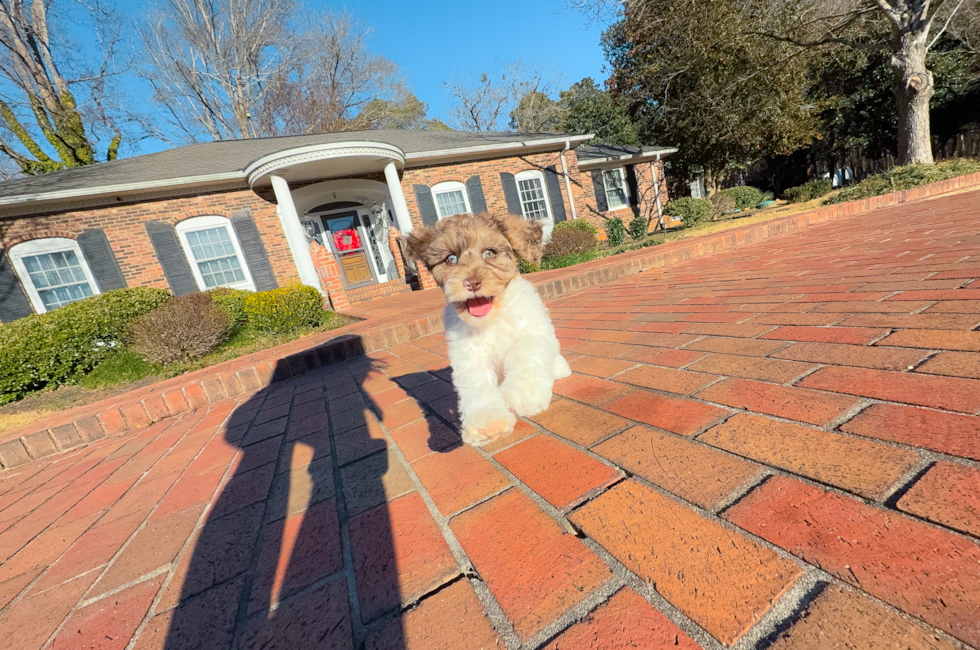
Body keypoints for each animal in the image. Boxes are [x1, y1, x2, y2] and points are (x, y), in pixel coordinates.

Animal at [402, 213, 572, 446]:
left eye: (489, 253)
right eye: (451, 259)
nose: (472, 282)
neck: (492, 320)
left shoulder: (531, 328)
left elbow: (525, 353)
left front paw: (524, 393)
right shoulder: (469, 356)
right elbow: (477, 385)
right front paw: (488, 422)